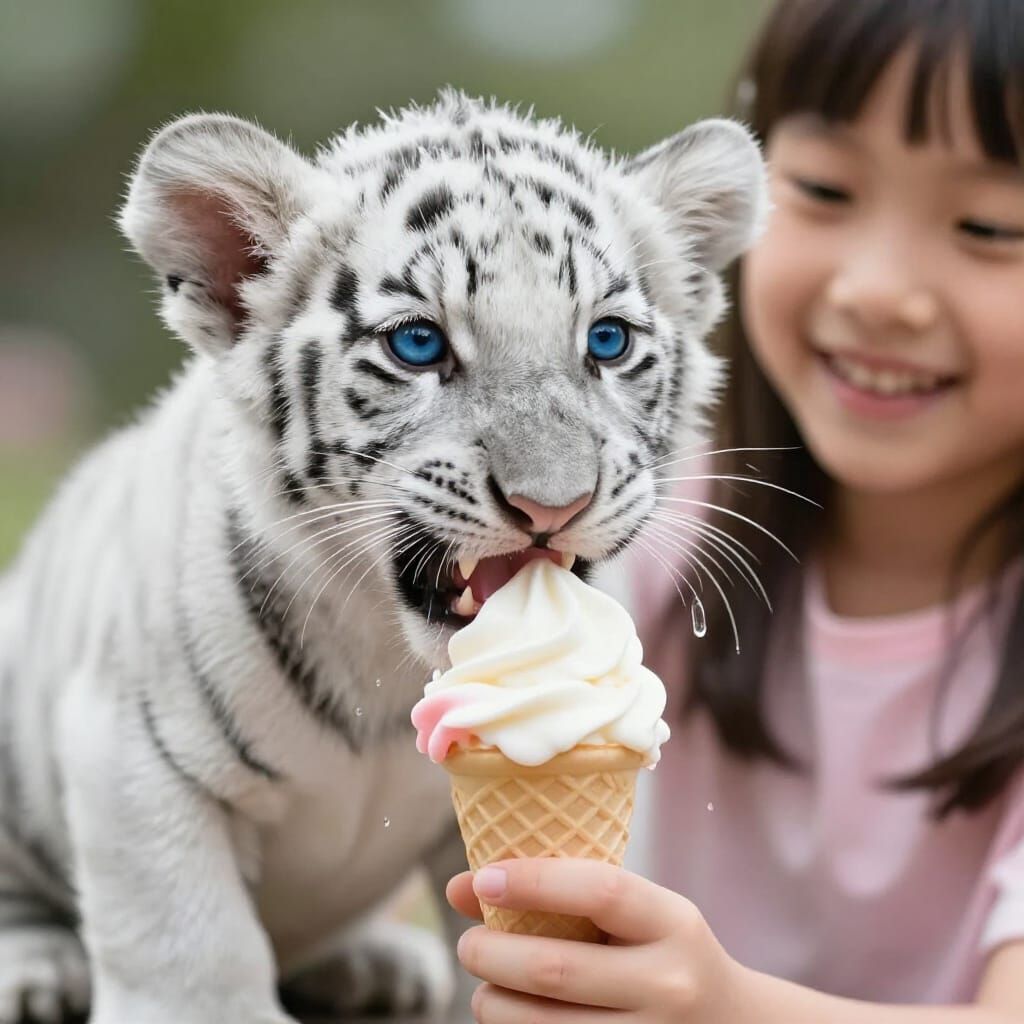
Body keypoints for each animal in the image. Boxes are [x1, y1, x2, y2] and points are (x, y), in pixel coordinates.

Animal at [0, 89, 765, 1023]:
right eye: (418, 345)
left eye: (609, 341)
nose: (554, 503)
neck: (386, 665)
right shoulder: (134, 753)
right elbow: (192, 955)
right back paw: (37, 969)